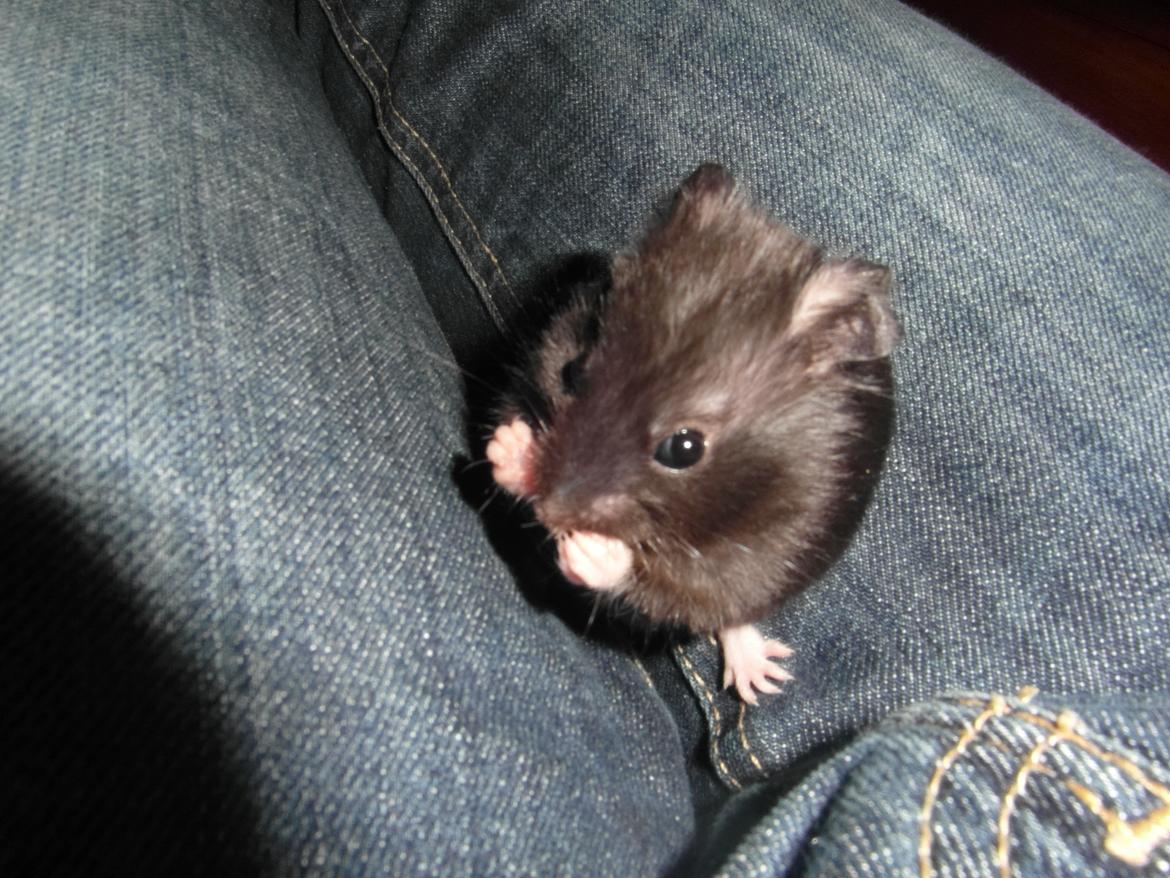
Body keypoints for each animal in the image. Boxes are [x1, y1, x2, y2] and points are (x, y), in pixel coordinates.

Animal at [486, 164, 900, 703]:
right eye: (571, 373)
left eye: (683, 448)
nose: (546, 513)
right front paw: (507, 447)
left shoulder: (775, 540)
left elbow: (688, 592)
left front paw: (592, 550)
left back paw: (759, 679)